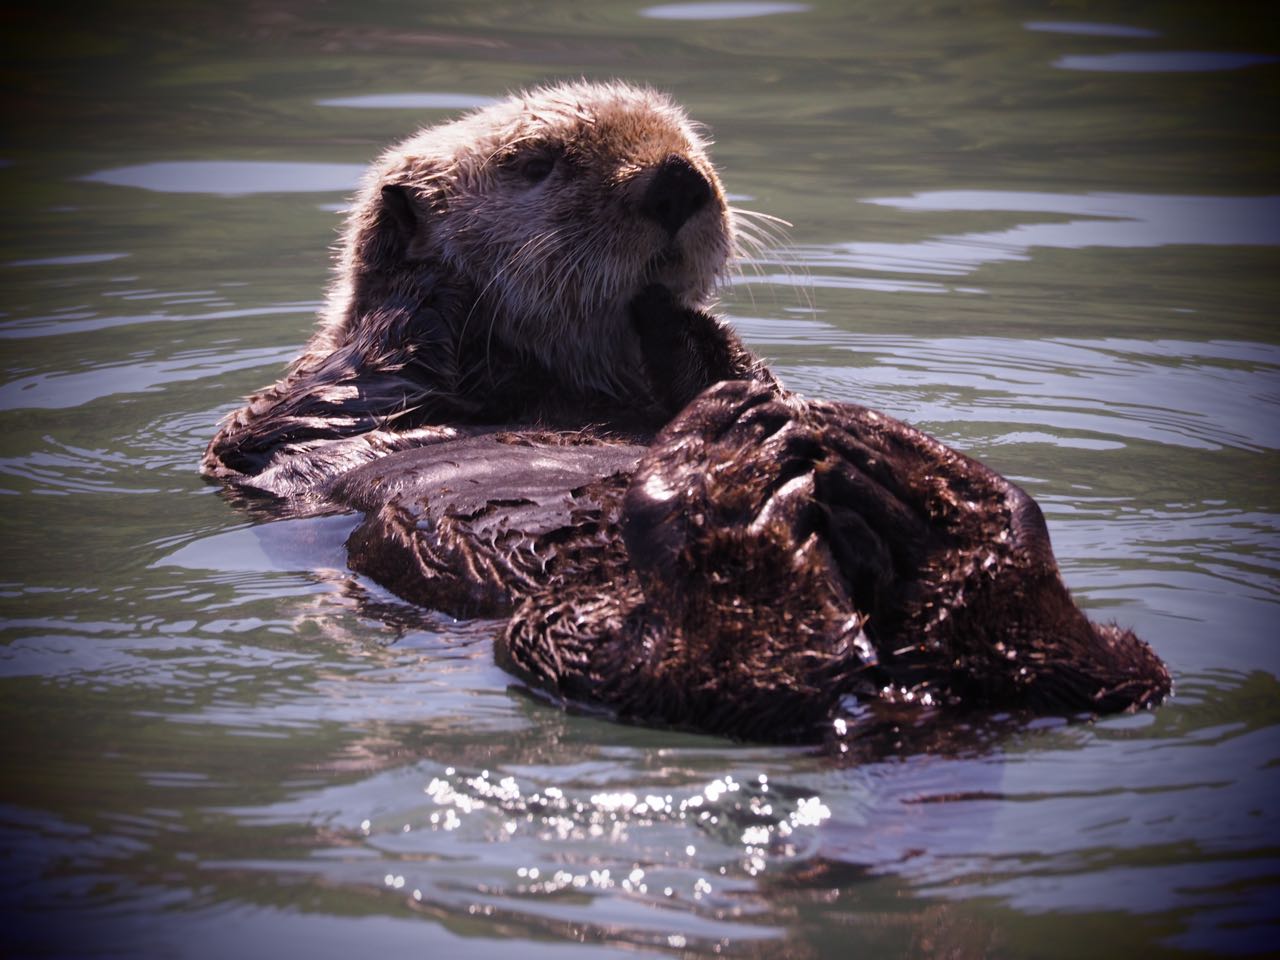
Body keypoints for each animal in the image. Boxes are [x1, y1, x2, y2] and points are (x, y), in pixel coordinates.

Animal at [204, 80, 1170, 745]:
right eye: (535, 162)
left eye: (694, 143)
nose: (677, 181)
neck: (554, 382)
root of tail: (900, 695)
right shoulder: (301, 405)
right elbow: (372, 355)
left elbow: (745, 370)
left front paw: (688, 330)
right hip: (554, 634)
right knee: (732, 670)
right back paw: (719, 486)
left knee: (1092, 667)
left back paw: (922, 486)